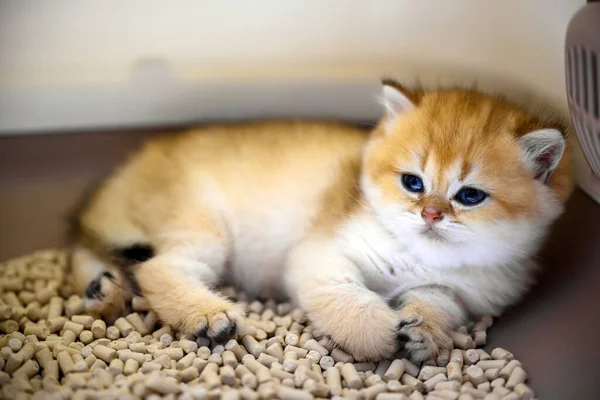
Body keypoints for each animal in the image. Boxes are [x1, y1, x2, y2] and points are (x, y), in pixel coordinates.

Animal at [70, 79, 572, 360]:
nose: (430, 213)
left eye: (470, 196)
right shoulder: (320, 255)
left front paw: (422, 334)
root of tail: (128, 170)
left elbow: (436, 304)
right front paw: (382, 334)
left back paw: (104, 293)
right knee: (156, 267)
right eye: (412, 182)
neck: (421, 256)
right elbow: (349, 300)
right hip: (202, 228)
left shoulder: (456, 291)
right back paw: (208, 315)